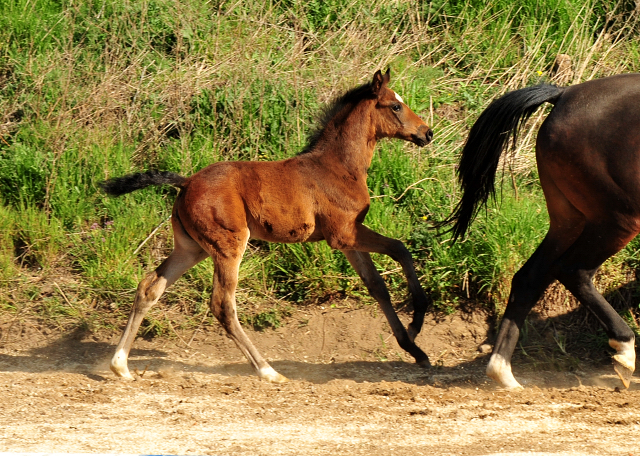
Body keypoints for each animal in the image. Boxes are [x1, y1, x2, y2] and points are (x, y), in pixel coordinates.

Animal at [100, 69, 436, 382]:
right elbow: (400, 249)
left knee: (149, 287)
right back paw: (267, 371)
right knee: (222, 304)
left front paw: (415, 349)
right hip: (228, 244)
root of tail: (186, 182)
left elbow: (377, 285)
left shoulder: (349, 240)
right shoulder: (343, 234)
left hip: (191, 248)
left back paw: (120, 366)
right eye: (395, 105)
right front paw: (417, 321)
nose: (427, 132)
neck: (338, 166)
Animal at [444, 74, 640, 388]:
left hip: (569, 221)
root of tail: (565, 94)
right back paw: (624, 350)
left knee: (529, 278)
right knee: (573, 270)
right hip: (617, 220)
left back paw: (503, 374)